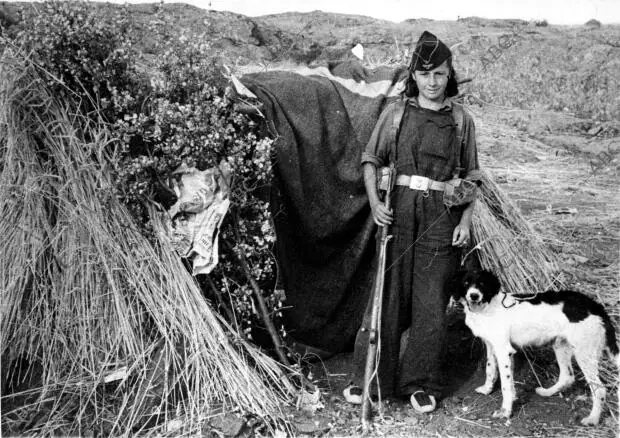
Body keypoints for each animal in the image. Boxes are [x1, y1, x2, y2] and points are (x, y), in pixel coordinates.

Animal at [452, 268, 616, 426]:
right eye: (466, 283)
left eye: (482, 284)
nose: (474, 296)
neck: (487, 307)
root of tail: (595, 306)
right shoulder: (493, 346)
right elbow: (490, 369)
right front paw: (487, 390)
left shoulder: (504, 350)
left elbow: (505, 385)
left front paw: (505, 412)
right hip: (561, 345)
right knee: (567, 376)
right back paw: (548, 392)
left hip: (584, 353)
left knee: (599, 389)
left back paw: (593, 419)